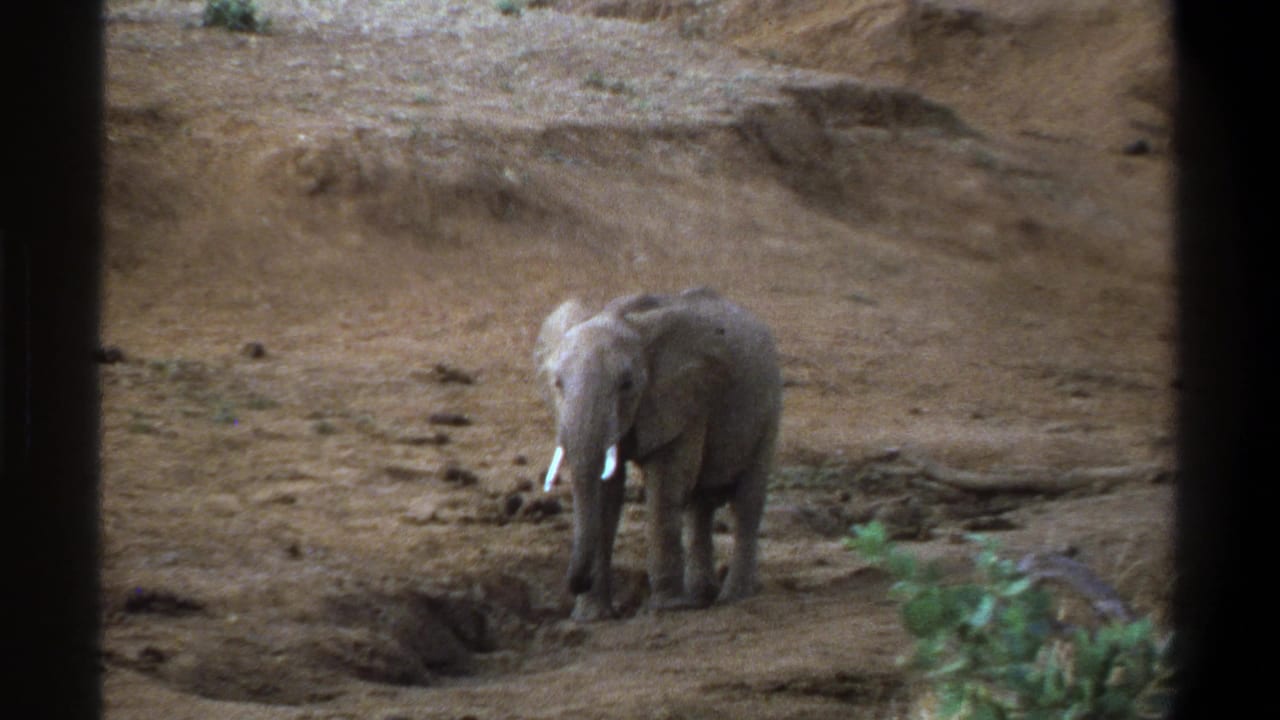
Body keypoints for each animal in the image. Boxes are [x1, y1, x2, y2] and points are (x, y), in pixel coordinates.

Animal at [534, 287, 782, 621]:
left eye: (627, 384)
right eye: (557, 384)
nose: (576, 583)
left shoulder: (685, 400)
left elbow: (666, 484)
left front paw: (668, 608)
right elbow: (606, 492)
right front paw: (592, 617)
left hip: (770, 410)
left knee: (746, 501)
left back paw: (733, 597)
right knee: (699, 504)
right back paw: (701, 595)